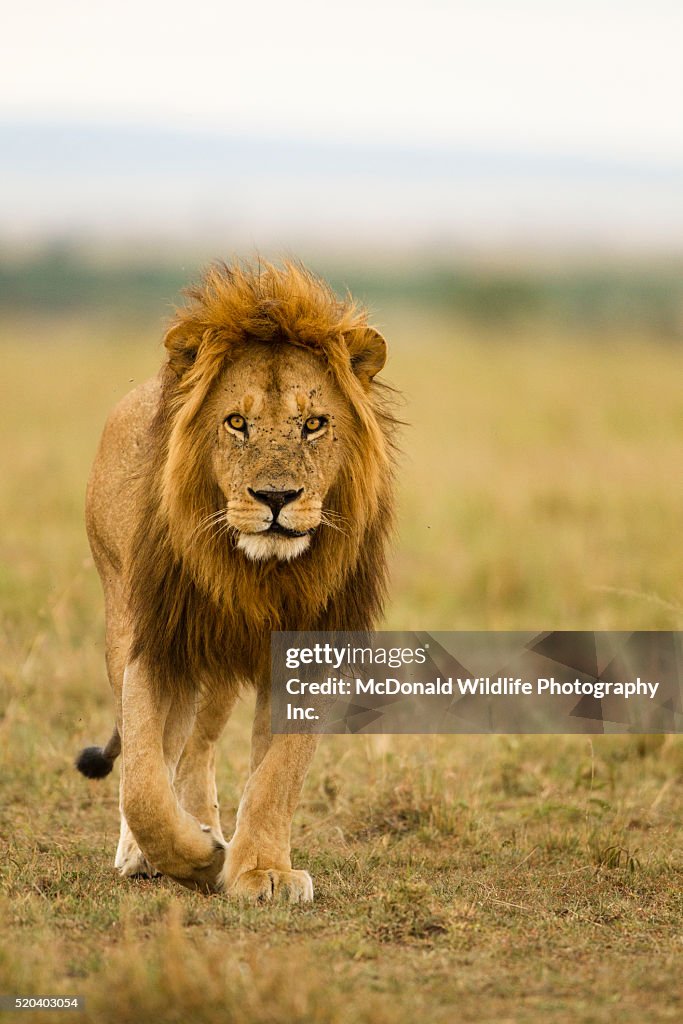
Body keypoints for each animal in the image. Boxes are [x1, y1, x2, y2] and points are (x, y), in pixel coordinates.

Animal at [75, 259, 397, 901]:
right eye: (236, 423)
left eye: (314, 423)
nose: (276, 498)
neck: (260, 576)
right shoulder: (158, 642)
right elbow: (143, 780)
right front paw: (193, 857)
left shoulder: (308, 654)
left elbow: (279, 775)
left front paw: (260, 870)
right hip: (126, 622)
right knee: (158, 748)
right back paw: (150, 849)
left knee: (197, 747)